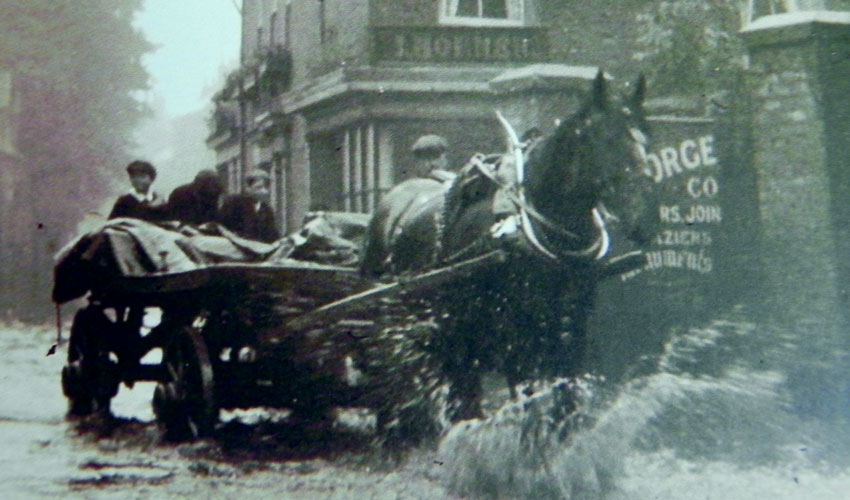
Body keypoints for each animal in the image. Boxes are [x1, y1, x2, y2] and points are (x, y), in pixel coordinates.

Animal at [358, 71, 656, 430]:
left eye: (648, 139)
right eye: (606, 140)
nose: (646, 220)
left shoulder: (570, 338)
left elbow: (565, 408)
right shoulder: (517, 343)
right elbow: (529, 410)